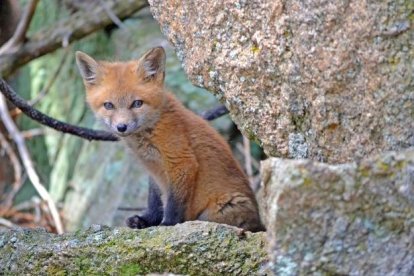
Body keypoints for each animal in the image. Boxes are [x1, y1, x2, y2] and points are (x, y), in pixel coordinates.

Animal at [75, 47, 264, 231]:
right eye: (109, 105)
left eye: (137, 103)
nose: (122, 127)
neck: (151, 129)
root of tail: (260, 222)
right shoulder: (153, 169)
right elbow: (155, 200)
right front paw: (147, 220)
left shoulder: (181, 161)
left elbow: (174, 204)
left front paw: (168, 224)